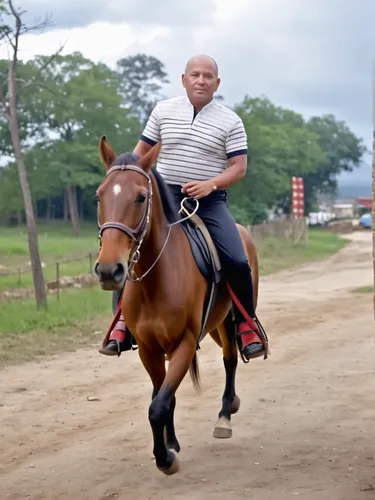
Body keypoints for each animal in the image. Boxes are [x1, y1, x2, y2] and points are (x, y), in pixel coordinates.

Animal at [95, 137, 262, 476]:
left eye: (141, 197)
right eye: (99, 195)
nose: (109, 270)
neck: (157, 280)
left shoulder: (184, 343)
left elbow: (158, 405)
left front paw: (165, 459)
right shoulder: (149, 348)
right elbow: (161, 396)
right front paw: (170, 445)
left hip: (228, 321)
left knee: (230, 358)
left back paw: (226, 414)